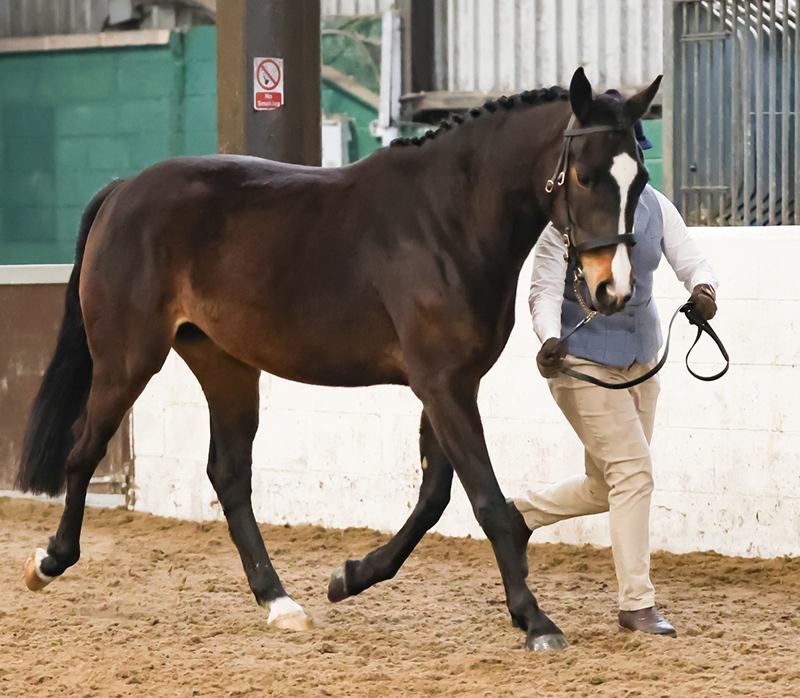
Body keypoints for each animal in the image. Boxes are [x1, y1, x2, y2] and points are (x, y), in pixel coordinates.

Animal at [17, 67, 660, 651]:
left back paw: (279, 602)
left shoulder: (450, 384)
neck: (448, 219)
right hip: (127, 361)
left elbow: (434, 498)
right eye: (584, 176)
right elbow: (486, 501)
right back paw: (48, 562)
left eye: (641, 179)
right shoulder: (442, 385)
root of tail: (124, 188)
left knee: (229, 475)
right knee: (84, 451)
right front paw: (536, 621)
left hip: (226, 366)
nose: (612, 290)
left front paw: (350, 577)